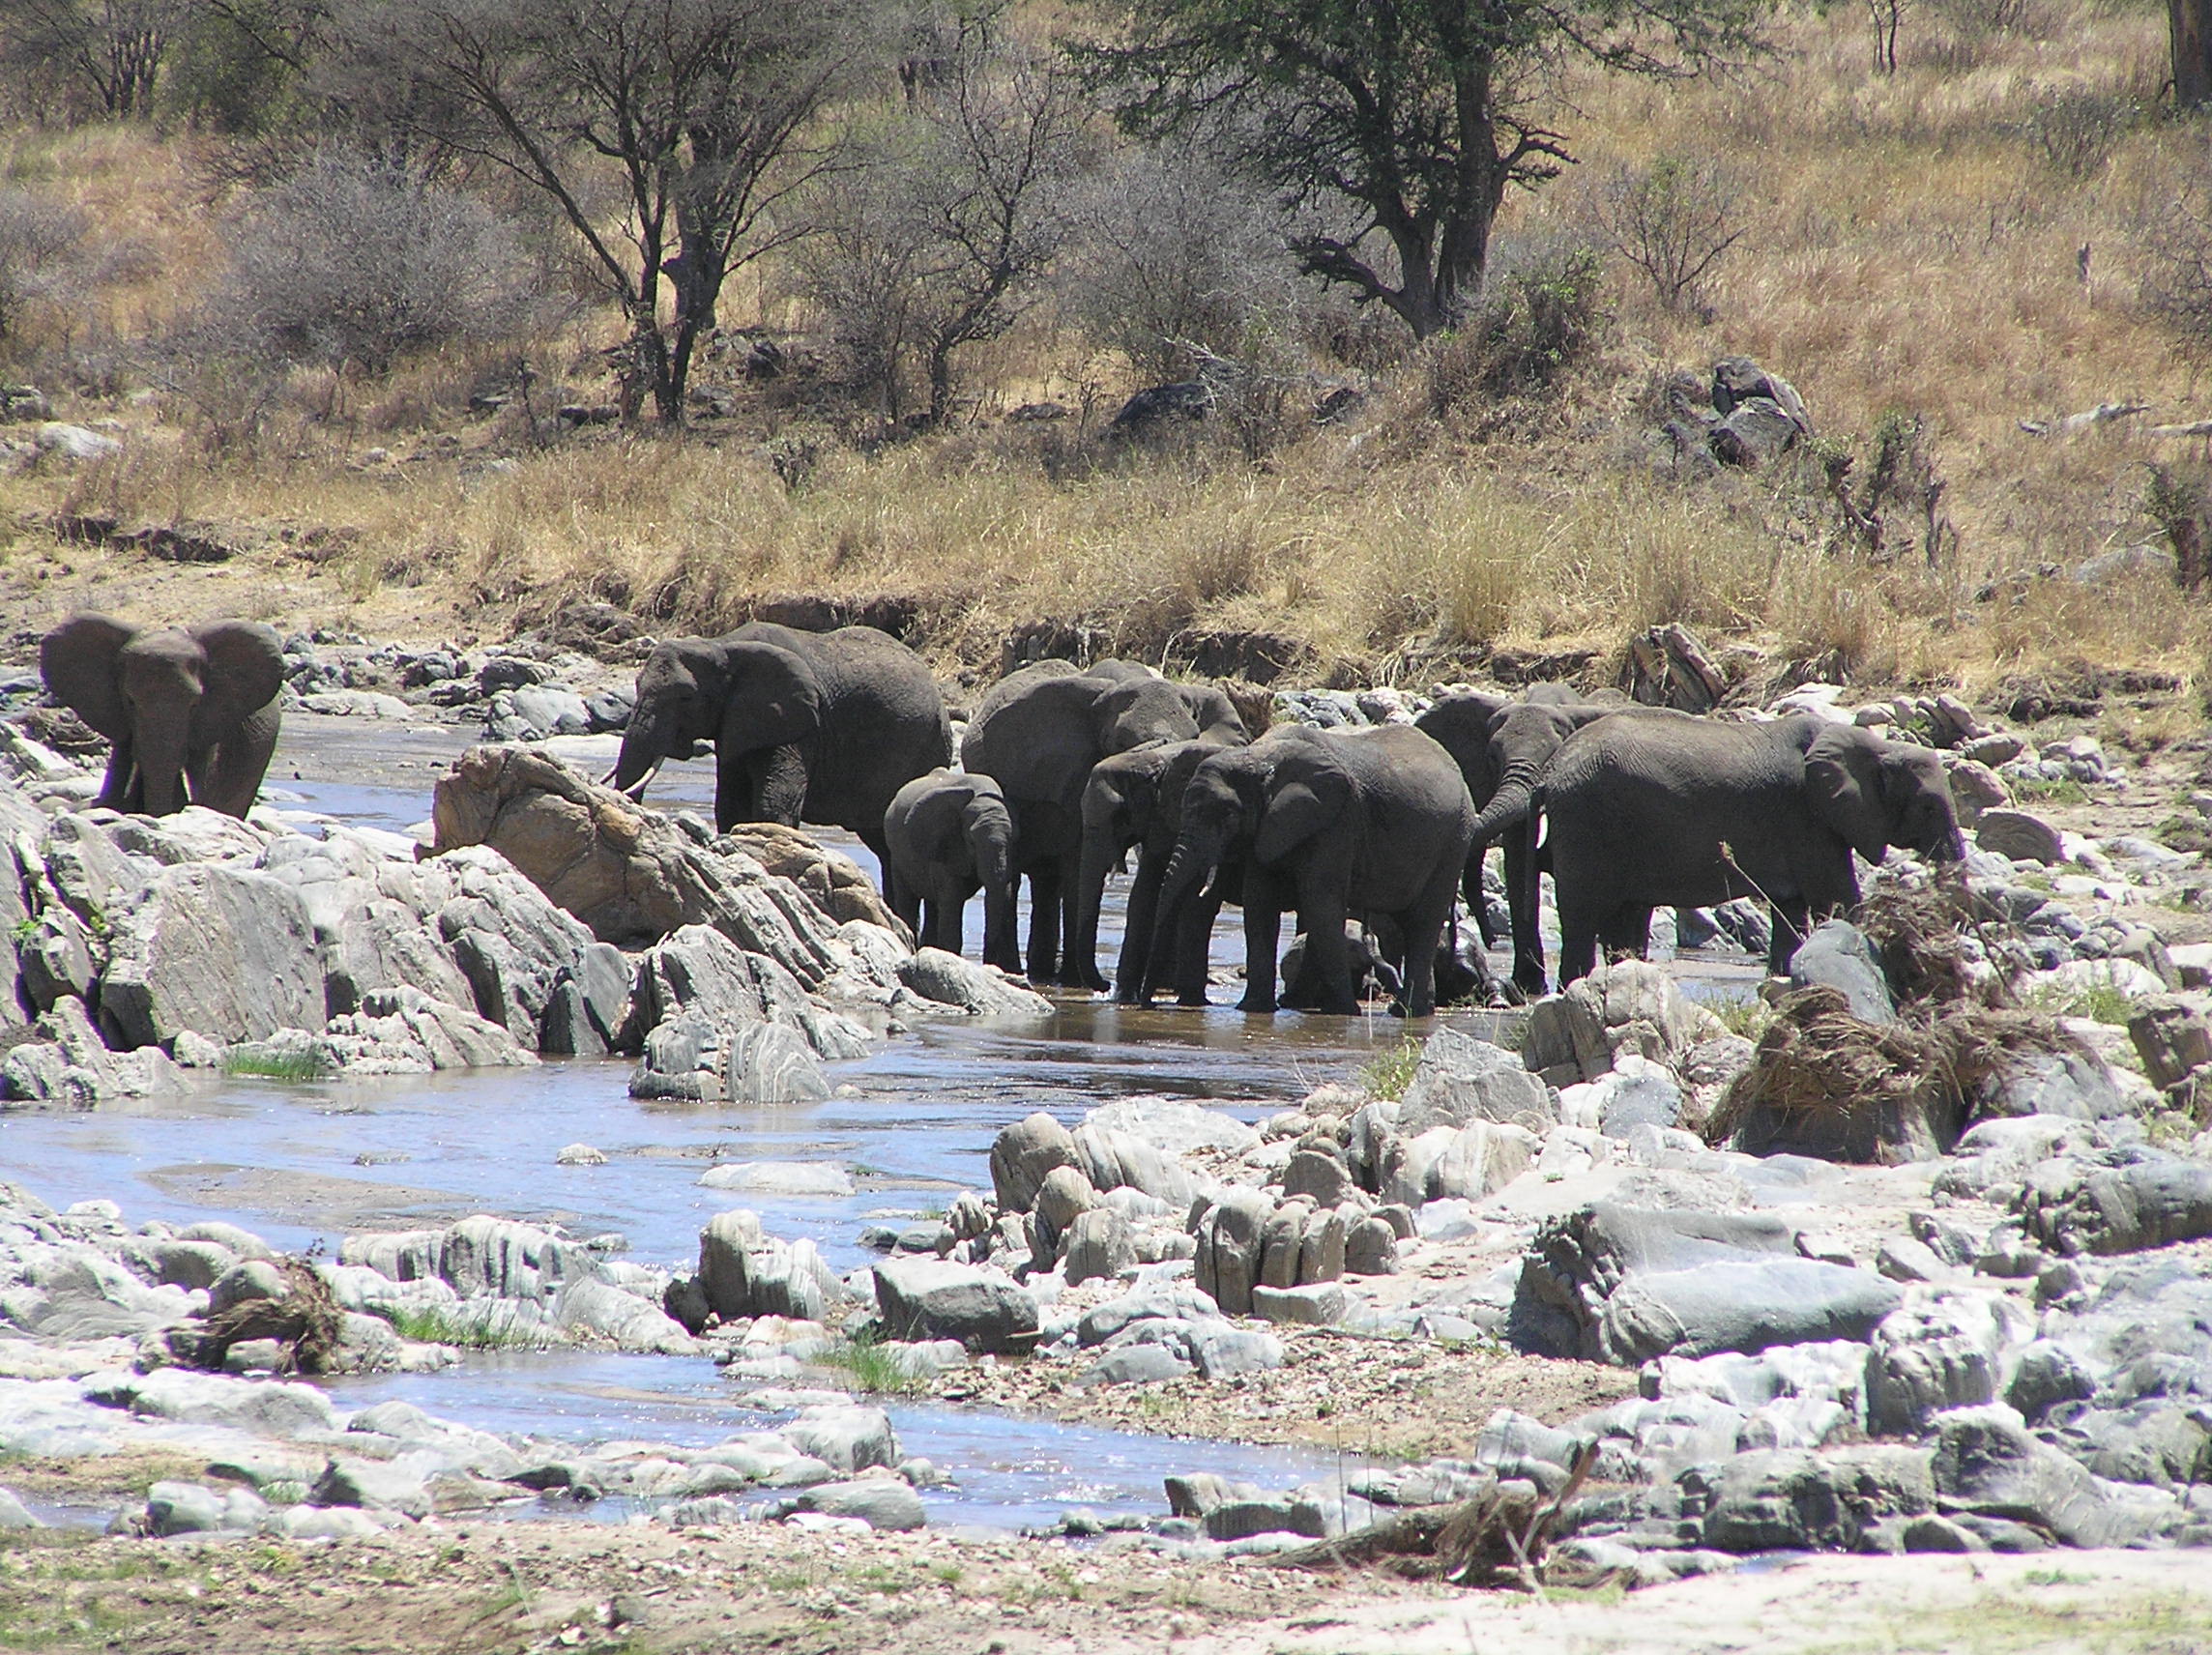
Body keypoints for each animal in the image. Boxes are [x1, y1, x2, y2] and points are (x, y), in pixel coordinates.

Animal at [611, 622, 952, 871]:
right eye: (637, 686)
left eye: (685, 697)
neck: (721, 645)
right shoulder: (736, 723)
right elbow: (730, 804)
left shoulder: (800, 721)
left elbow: (774, 804)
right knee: (884, 846)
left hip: (927, 748)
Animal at [882, 769, 1020, 970]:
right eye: (971, 842)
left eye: (1013, 841)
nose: (986, 963)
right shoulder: (946, 843)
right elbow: (952, 898)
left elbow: (1005, 893)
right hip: (897, 854)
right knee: (908, 899)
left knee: (933, 903)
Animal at [961, 660, 1248, 987]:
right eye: (1119, 742)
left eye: (1193, 736)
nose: (1105, 984)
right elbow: (1078, 865)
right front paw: (1076, 981)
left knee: (1048, 881)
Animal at [1156, 723, 1476, 1017]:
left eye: (1228, 815)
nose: (1148, 1000)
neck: (1259, 756)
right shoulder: (1269, 827)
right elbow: (1260, 904)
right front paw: (1254, 1009)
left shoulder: (1337, 821)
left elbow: (1320, 903)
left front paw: (1345, 1012)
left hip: (1455, 840)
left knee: (1423, 921)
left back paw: (1406, 1012)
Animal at [1537, 711, 1967, 986]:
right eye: (1928, 807)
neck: (1878, 747)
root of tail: (1554, 767)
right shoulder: (1808, 817)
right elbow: (1839, 899)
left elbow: (1791, 910)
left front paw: (1782, 979)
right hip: (1587, 822)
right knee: (1581, 919)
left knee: (1625, 918)